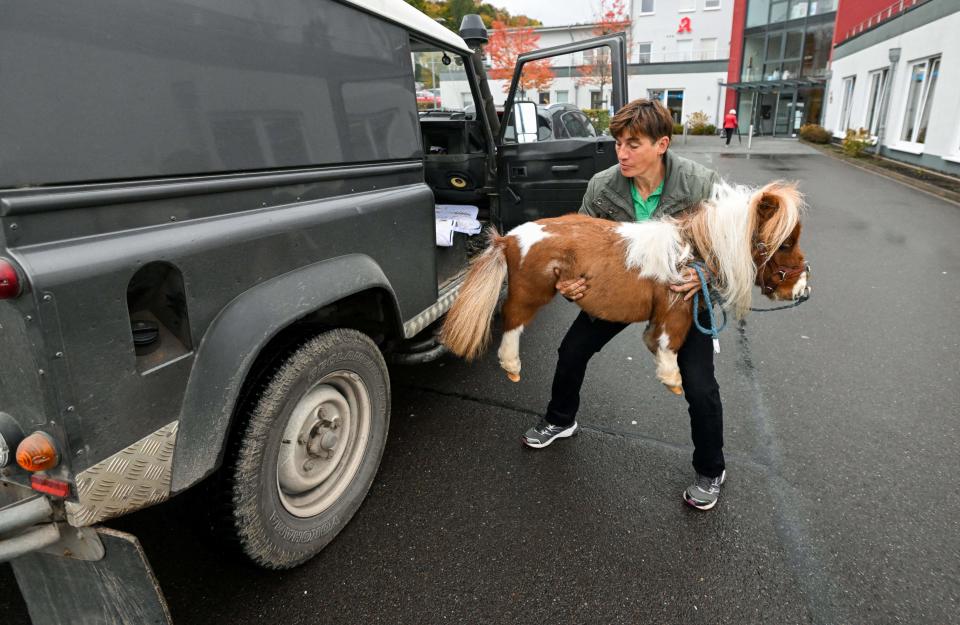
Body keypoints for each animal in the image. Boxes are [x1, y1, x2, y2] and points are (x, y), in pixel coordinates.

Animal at [442, 182, 808, 394]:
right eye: (786, 242)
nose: (803, 289)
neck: (689, 252)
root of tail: (508, 238)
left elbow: (654, 338)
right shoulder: (675, 309)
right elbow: (669, 342)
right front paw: (672, 379)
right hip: (531, 293)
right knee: (512, 323)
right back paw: (512, 366)